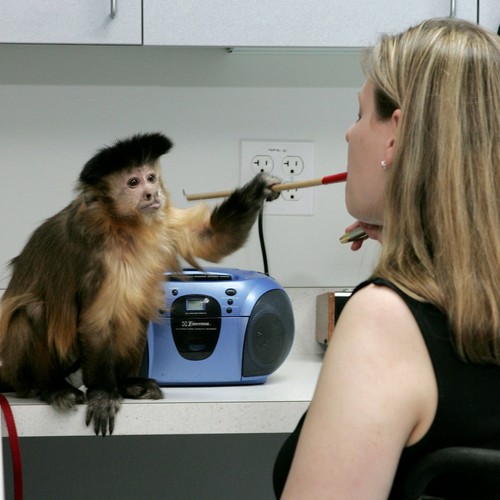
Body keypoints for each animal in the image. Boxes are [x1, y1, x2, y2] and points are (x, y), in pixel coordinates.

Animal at [0, 132, 280, 435]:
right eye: (133, 183)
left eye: (150, 178)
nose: (152, 194)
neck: (124, 226)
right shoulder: (98, 254)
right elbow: (96, 323)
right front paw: (102, 393)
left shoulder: (161, 219)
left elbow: (211, 237)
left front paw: (261, 188)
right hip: (23, 368)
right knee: (35, 310)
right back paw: (53, 388)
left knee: (137, 309)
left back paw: (127, 383)